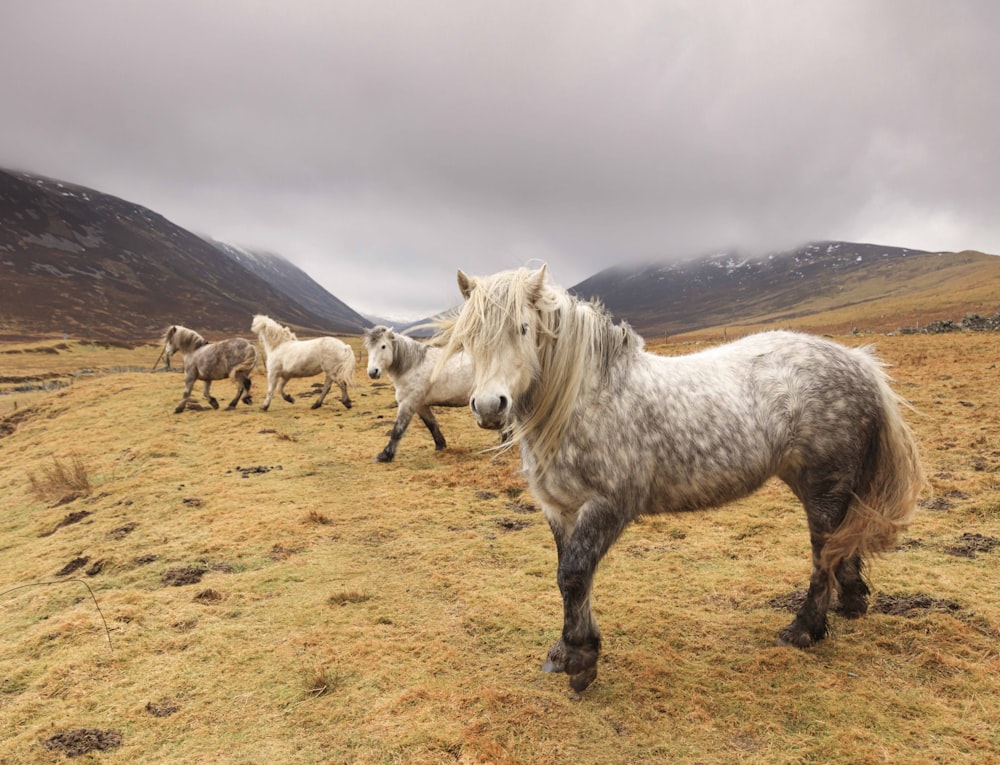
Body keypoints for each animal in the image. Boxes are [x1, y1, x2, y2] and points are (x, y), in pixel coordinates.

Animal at [364, 326, 476, 462]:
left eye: (383, 346)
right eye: (368, 347)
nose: (372, 372)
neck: (413, 366)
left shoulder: (408, 403)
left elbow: (398, 429)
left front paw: (385, 455)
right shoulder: (421, 405)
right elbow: (431, 424)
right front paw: (440, 446)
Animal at [442, 268, 924, 692]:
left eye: (523, 328)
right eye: (468, 338)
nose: (490, 406)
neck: (586, 400)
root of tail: (858, 362)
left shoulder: (607, 506)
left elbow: (575, 576)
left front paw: (582, 661)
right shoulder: (559, 509)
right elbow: (569, 578)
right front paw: (564, 650)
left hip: (824, 485)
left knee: (824, 552)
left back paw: (805, 629)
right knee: (843, 543)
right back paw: (852, 602)